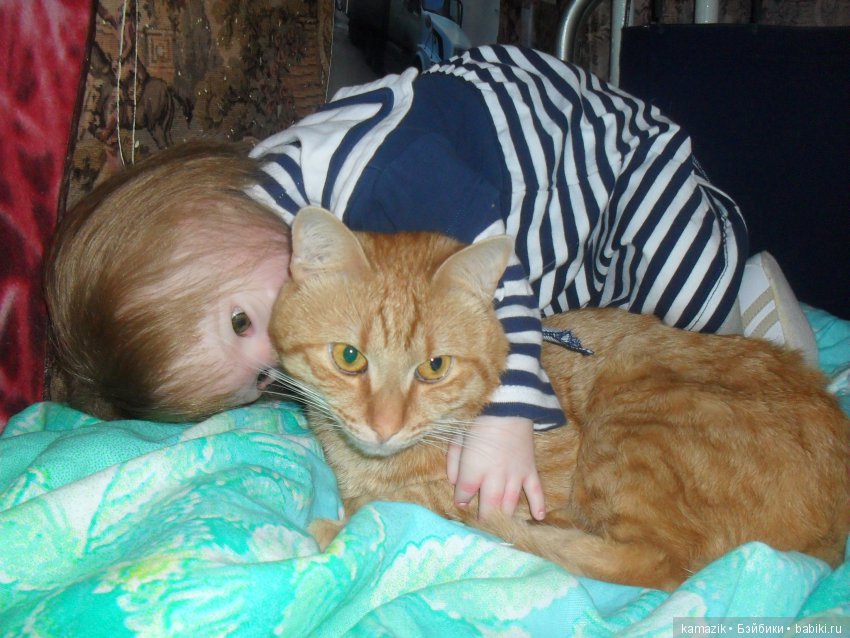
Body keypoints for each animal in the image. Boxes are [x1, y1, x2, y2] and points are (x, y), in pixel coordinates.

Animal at [269, 206, 850, 591]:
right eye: (349, 357)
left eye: (435, 367)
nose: (385, 426)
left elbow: (410, 506)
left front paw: (344, 523)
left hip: (636, 423)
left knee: (653, 563)